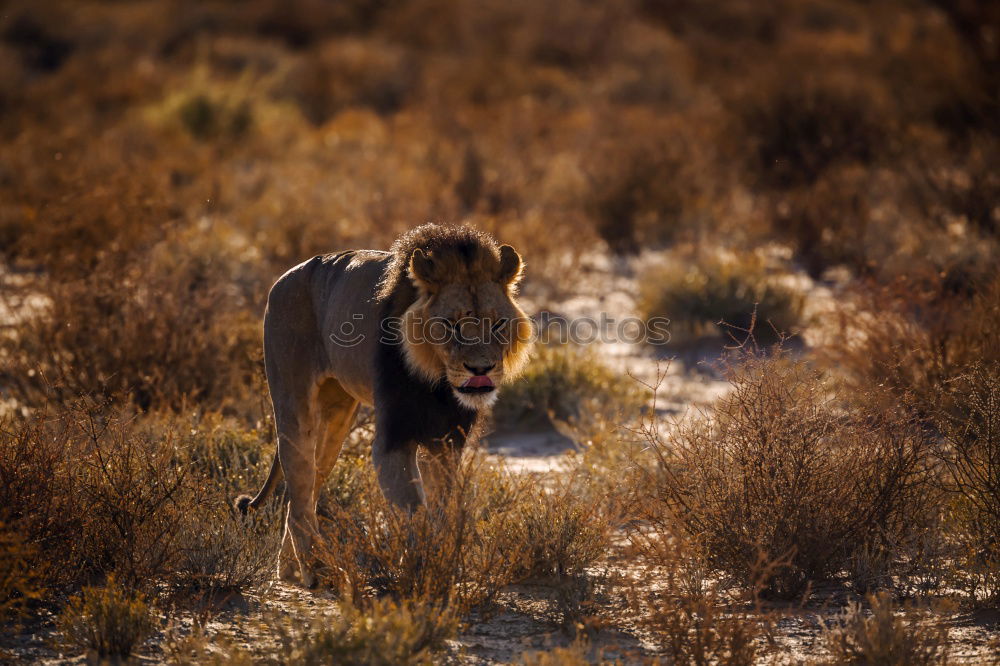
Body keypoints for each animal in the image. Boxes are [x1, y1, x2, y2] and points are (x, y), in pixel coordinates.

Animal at [235, 224, 532, 588]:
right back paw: (318, 571)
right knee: (301, 491)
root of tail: (285, 277)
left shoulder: (447, 443)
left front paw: (443, 565)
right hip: (293, 405)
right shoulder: (393, 439)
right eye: (450, 325)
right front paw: (421, 568)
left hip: (337, 418)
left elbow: (442, 509)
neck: (437, 382)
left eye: (497, 324)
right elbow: (413, 510)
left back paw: (291, 570)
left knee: (302, 495)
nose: (481, 370)